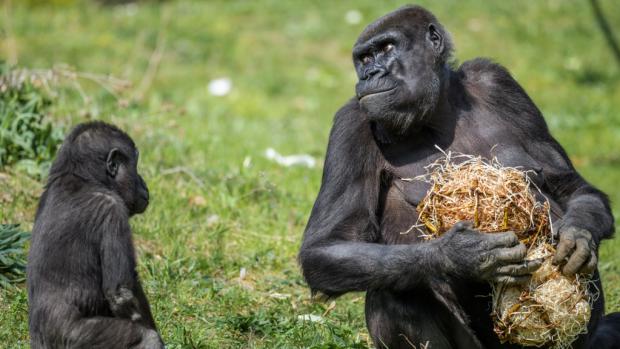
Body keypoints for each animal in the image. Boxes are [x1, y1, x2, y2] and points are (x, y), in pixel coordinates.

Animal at [27, 121, 163, 346]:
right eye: (135, 165)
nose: (143, 181)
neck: (84, 178)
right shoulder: (112, 209)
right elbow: (121, 292)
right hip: (73, 338)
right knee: (146, 338)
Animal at [298, 5, 616, 348]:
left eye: (386, 48)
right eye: (365, 58)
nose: (370, 74)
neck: (437, 114)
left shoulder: (499, 82)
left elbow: (570, 185)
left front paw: (578, 237)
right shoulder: (351, 124)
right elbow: (326, 247)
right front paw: (461, 254)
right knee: (395, 291)